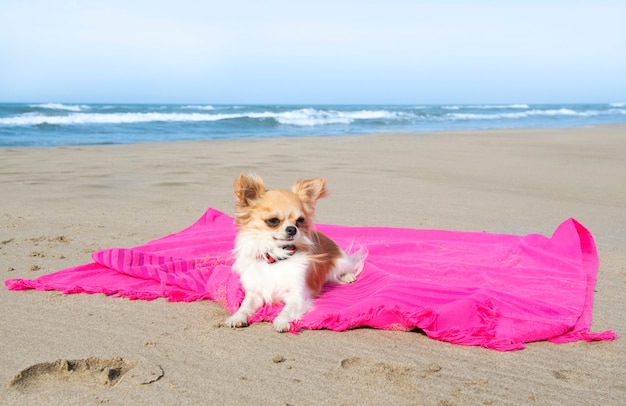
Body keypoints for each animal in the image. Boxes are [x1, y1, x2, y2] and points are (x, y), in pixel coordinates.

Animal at [224, 173, 364, 332]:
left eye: (300, 220)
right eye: (273, 220)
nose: (292, 229)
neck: (275, 256)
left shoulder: (297, 296)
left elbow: (287, 309)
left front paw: (281, 321)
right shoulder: (255, 293)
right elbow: (244, 306)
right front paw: (237, 317)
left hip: (340, 262)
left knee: (347, 268)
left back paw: (347, 276)